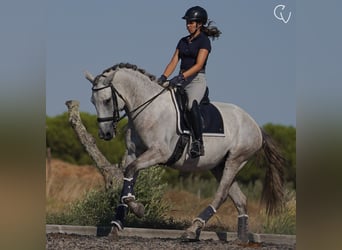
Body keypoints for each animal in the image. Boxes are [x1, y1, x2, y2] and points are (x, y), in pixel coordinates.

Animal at [85, 62, 286, 242]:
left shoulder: (159, 153)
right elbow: (127, 180)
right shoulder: (132, 154)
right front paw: (116, 227)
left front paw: (138, 209)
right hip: (219, 165)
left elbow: (130, 172)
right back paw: (242, 238)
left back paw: (192, 229)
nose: (105, 134)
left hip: (235, 160)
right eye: (93, 102)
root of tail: (256, 126)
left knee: (221, 195)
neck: (148, 108)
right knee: (240, 199)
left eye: (107, 100)